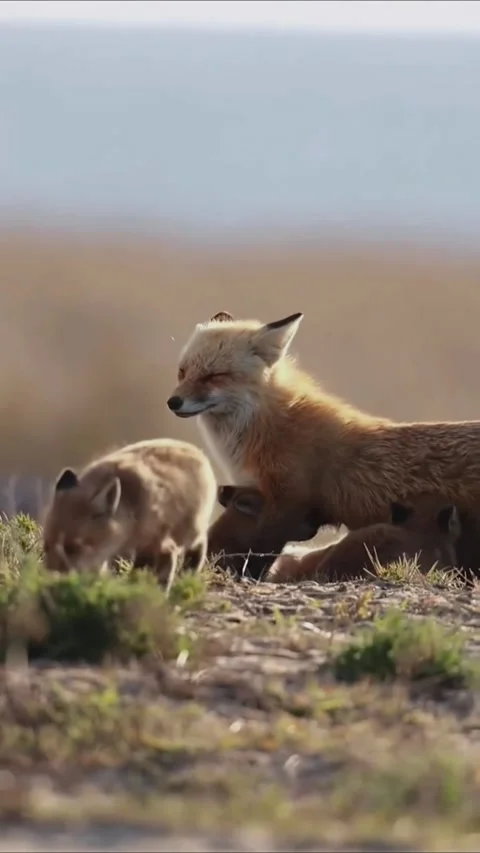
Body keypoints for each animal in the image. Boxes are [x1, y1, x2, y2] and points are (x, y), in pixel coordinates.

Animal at [42, 438, 217, 592]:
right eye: (46, 546)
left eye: (71, 548)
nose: (49, 580)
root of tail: (196, 450)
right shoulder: (107, 554)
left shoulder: (165, 546)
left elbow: (161, 583)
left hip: (190, 534)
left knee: (201, 543)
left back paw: (190, 572)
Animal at [167, 310, 480, 575]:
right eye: (182, 372)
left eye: (214, 376)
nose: (173, 402)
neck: (268, 429)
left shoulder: (286, 506)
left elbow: (260, 556)